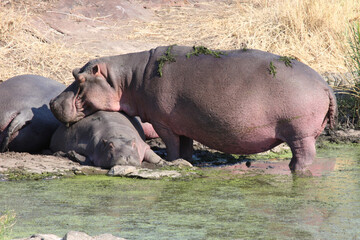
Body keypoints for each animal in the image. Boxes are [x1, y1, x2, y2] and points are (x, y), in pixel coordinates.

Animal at [50, 45, 338, 172]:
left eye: (79, 78)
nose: (52, 103)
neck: (127, 79)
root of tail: (325, 86)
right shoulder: (183, 124)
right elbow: (186, 148)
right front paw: (186, 162)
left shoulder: (163, 123)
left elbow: (173, 147)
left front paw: (171, 161)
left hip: (299, 133)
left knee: (304, 157)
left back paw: (296, 171)